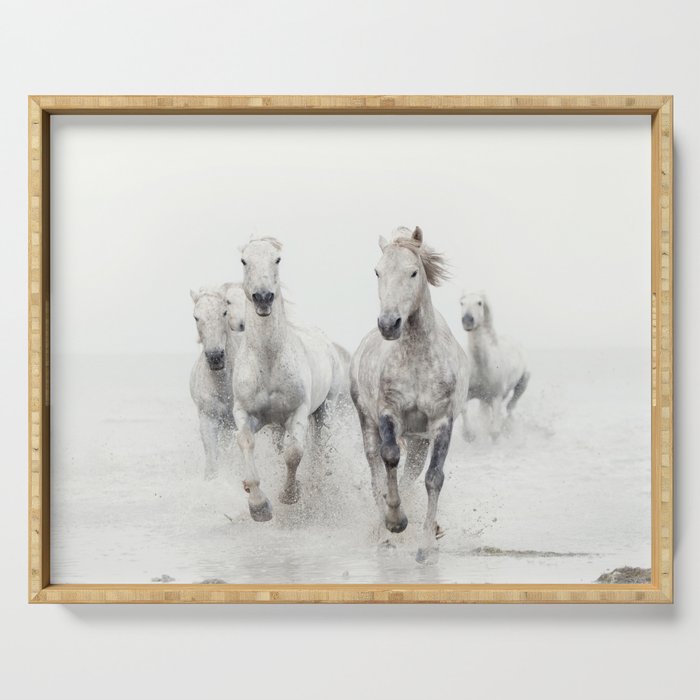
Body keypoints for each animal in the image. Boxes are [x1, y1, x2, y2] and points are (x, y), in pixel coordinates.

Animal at [232, 237, 345, 522]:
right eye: (244, 260)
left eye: (277, 259)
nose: (263, 298)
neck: (268, 361)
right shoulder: (244, 412)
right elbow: (245, 441)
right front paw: (259, 506)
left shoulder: (298, 412)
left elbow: (294, 453)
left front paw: (290, 495)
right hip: (276, 425)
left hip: (325, 409)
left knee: (318, 449)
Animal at [350, 226, 470, 561]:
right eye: (377, 271)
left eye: (413, 271)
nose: (389, 324)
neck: (417, 356)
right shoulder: (388, 412)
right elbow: (390, 456)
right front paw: (395, 522)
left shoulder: (441, 422)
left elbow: (433, 478)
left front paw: (427, 544)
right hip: (367, 422)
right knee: (376, 471)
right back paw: (384, 534)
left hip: (418, 441)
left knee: (410, 475)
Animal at [459, 291, 529, 439]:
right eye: (461, 303)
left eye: (479, 302)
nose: (467, 320)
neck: (482, 366)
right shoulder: (469, 394)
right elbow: (464, 410)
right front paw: (469, 435)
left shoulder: (496, 397)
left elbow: (494, 432)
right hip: (484, 400)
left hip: (523, 382)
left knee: (510, 408)